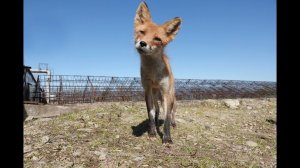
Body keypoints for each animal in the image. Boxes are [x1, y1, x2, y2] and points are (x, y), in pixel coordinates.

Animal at [135, 1, 182, 144]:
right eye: (142, 32)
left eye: (157, 39)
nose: (142, 43)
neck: (154, 73)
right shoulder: (147, 90)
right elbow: (150, 114)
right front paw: (152, 132)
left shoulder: (166, 93)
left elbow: (166, 118)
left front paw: (167, 137)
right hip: (156, 97)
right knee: (157, 110)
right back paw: (156, 122)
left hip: (171, 97)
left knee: (171, 113)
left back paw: (173, 123)